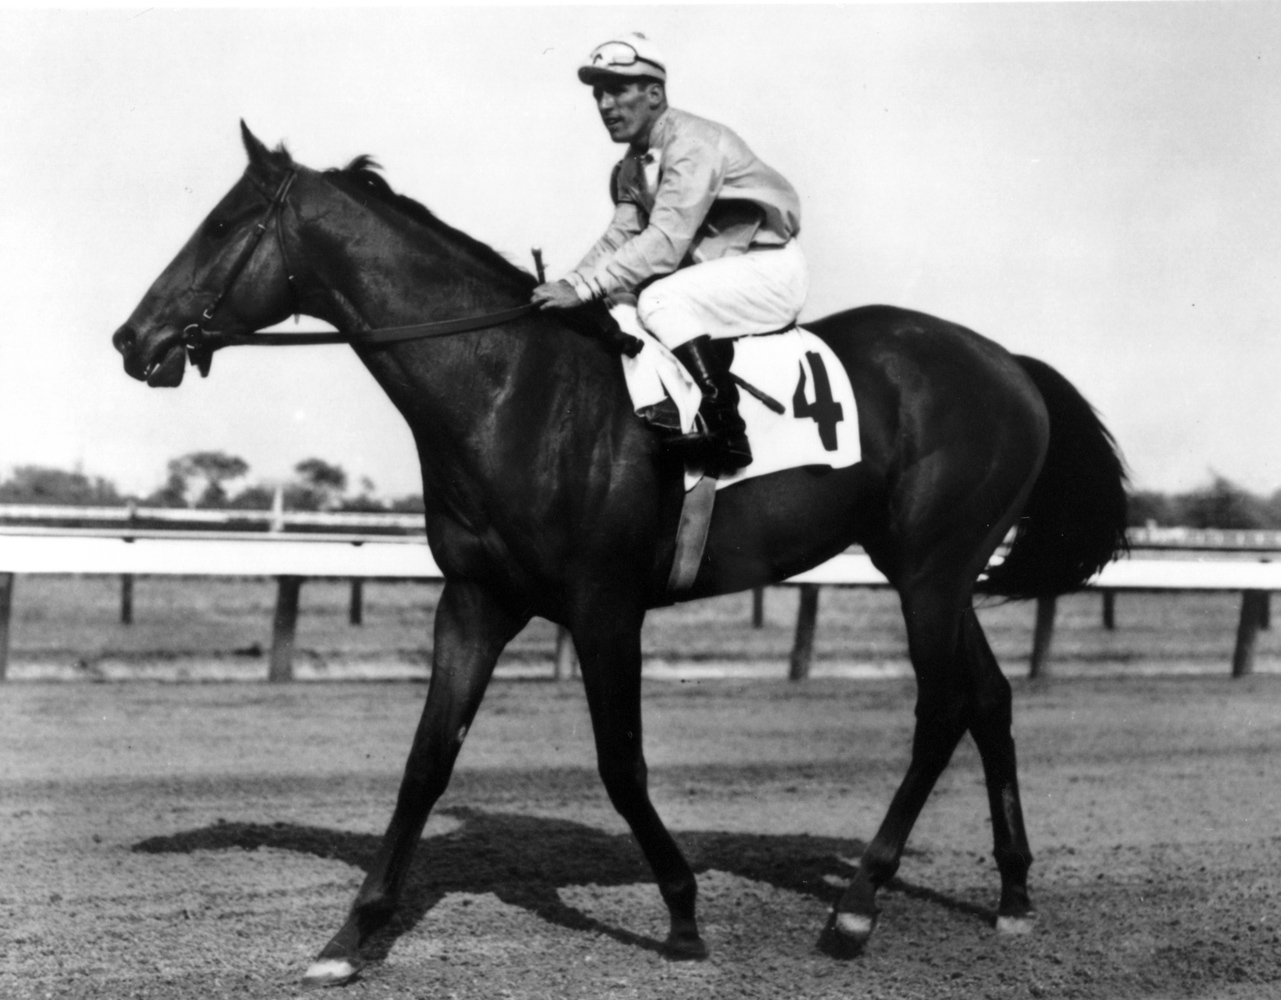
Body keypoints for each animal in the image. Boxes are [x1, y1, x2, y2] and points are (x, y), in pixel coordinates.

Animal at [112, 122, 1132, 983]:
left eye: (219, 224)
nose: (132, 339)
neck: (511, 391)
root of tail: (1008, 364)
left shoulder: (605, 607)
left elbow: (621, 764)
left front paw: (681, 914)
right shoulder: (474, 600)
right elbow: (426, 761)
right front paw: (350, 937)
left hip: (929, 568)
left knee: (940, 710)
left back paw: (853, 911)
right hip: (937, 571)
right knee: (988, 701)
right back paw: (1011, 895)